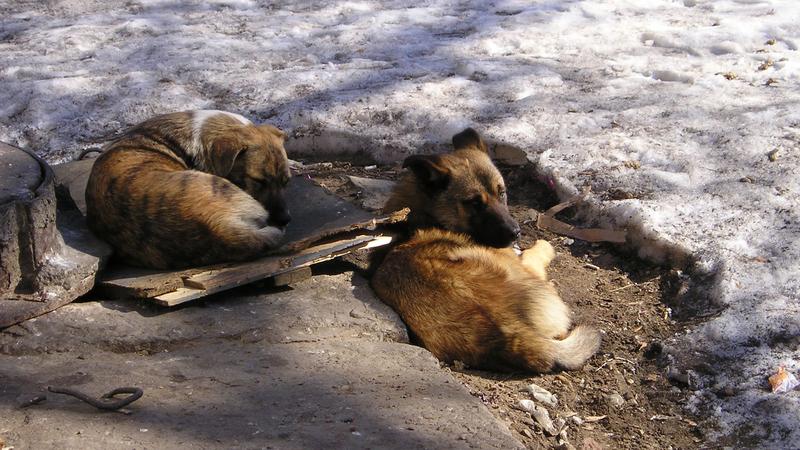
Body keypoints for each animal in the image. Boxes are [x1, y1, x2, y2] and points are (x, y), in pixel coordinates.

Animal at [370, 127, 600, 372]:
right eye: (474, 203)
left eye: (502, 192)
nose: (515, 232)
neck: (426, 216)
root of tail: (506, 333)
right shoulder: (525, 264)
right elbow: (534, 252)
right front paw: (542, 245)